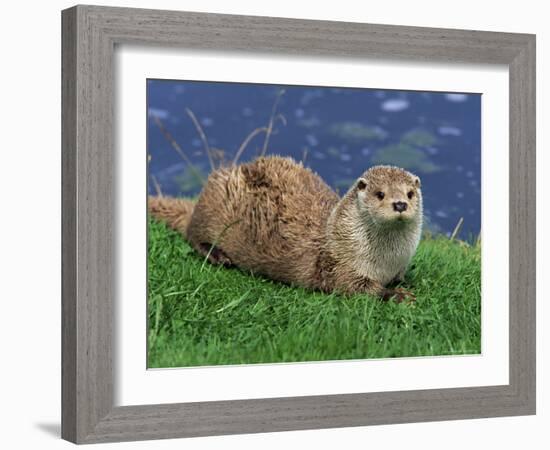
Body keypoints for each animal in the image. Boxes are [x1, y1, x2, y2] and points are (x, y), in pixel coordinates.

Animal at [149, 156, 424, 300]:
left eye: (410, 194)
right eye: (380, 194)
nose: (400, 203)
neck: (385, 263)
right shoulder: (339, 266)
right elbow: (356, 288)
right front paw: (397, 295)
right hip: (215, 202)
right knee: (192, 234)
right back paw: (218, 255)